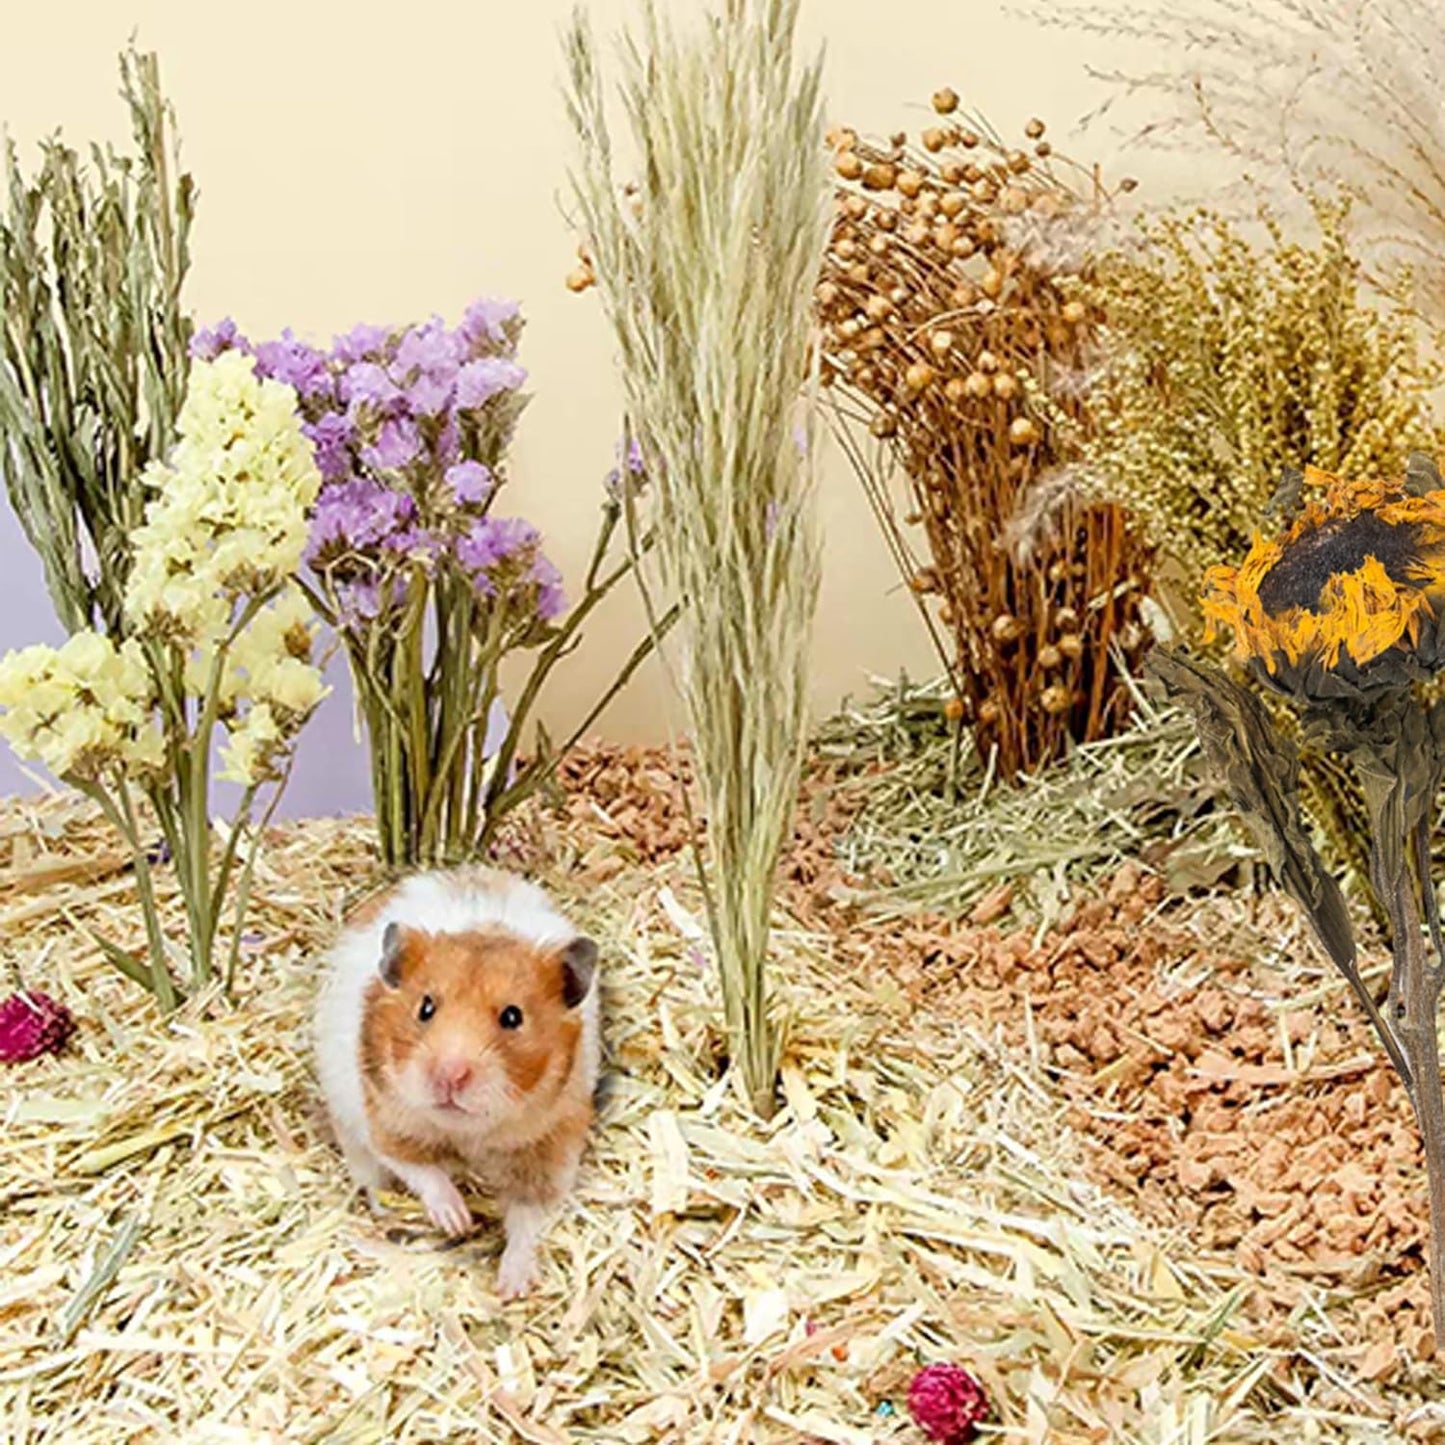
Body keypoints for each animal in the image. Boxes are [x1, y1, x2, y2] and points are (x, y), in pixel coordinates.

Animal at [313, 866, 600, 1298]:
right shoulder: (385, 1120)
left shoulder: (551, 1150)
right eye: (426, 1007)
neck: (468, 1133)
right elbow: (422, 1170)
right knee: (373, 1179)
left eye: (513, 1017)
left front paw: (510, 1288)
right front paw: (457, 1220)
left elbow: (527, 1220)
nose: (449, 1074)